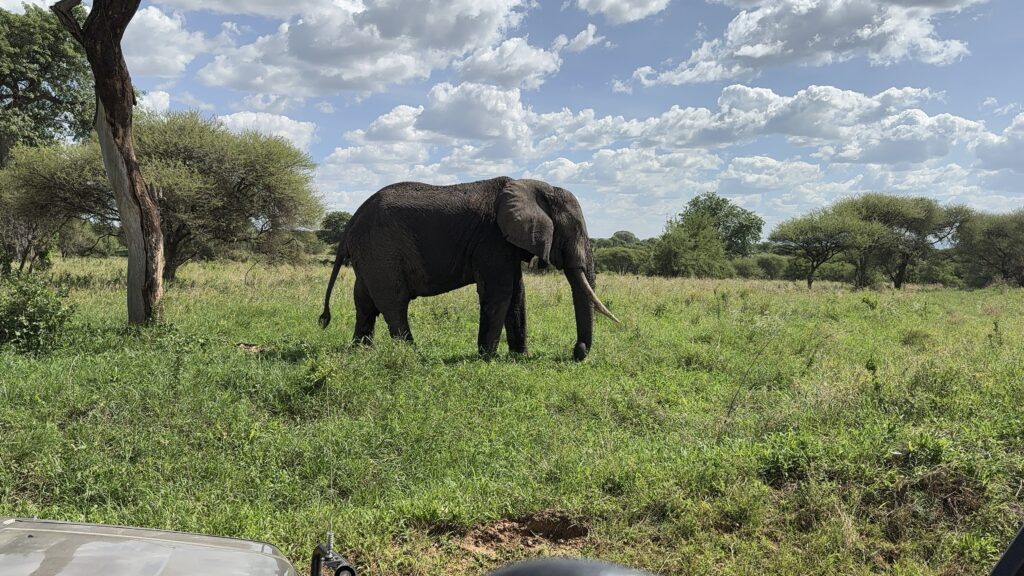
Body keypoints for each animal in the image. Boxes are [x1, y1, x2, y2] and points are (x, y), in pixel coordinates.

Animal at [319, 176, 618, 361]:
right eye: (572, 232)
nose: (577, 351)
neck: (533, 186)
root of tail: (352, 218)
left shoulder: (505, 243)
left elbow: (517, 294)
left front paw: (520, 356)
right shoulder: (492, 239)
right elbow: (500, 293)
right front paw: (487, 358)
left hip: (370, 253)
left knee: (364, 301)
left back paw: (362, 352)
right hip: (381, 248)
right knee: (394, 302)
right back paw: (412, 354)